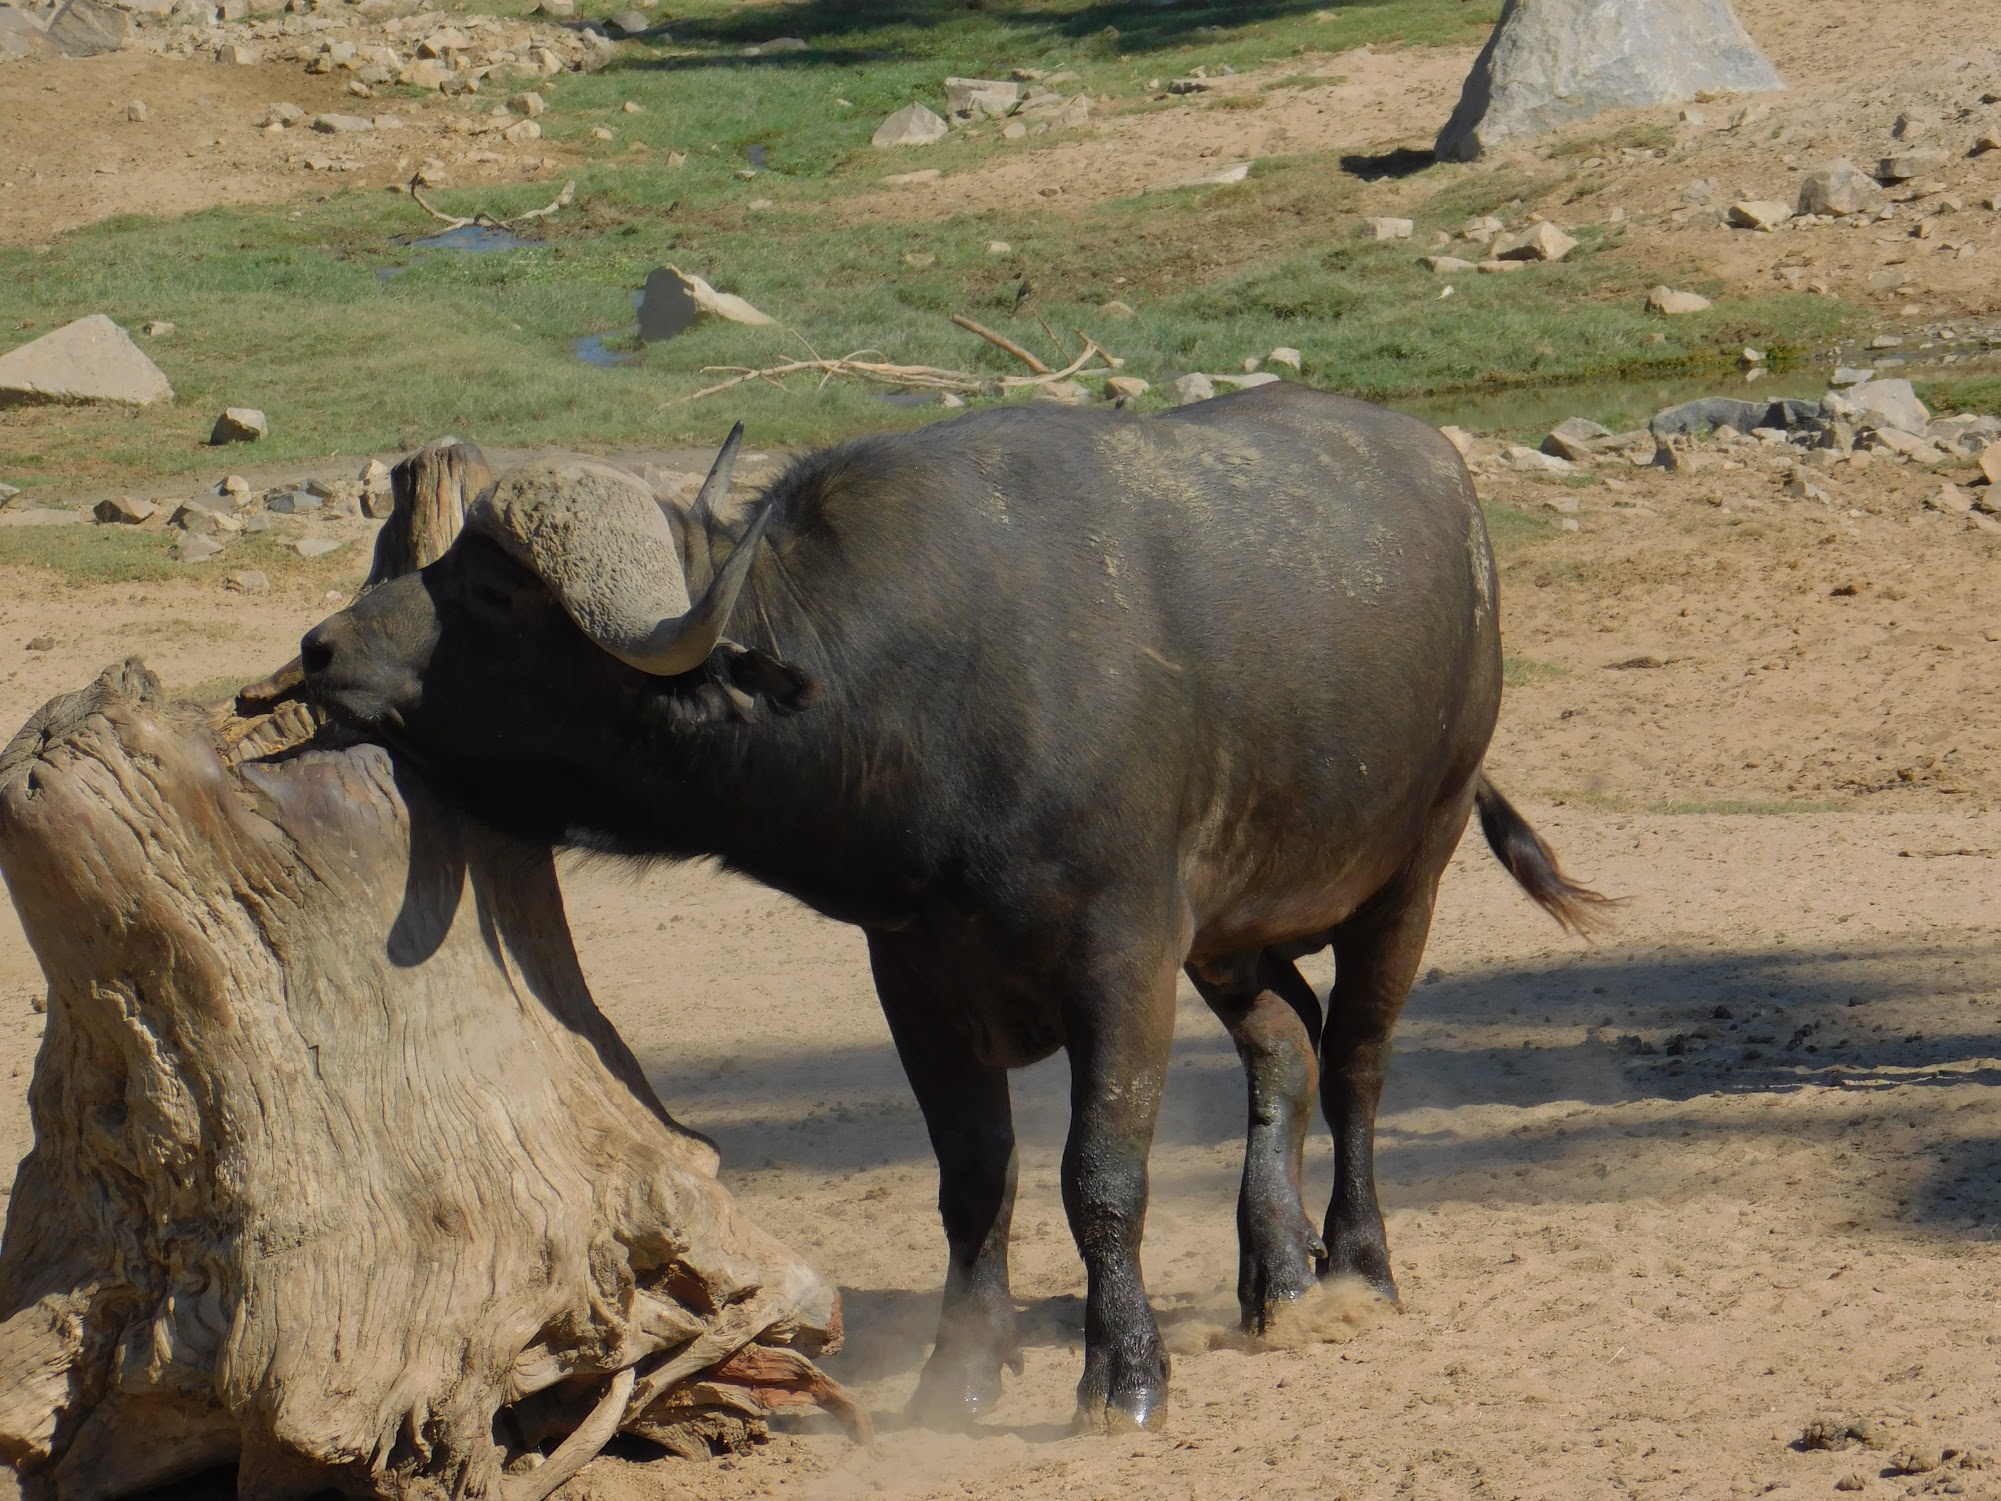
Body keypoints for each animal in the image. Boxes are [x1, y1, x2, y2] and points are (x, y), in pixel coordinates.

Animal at [301, 384, 1607, 1432]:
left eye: (490, 592)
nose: (318, 648)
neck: (921, 689)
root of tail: (1449, 490)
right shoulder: (917, 976)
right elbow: (976, 1181)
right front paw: (956, 1375)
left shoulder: (1124, 958)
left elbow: (1100, 1176)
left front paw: (1125, 1375)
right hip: (1232, 932)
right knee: (1285, 1041)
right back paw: (1277, 1277)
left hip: (1412, 864)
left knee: (1357, 1065)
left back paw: (1358, 1265)